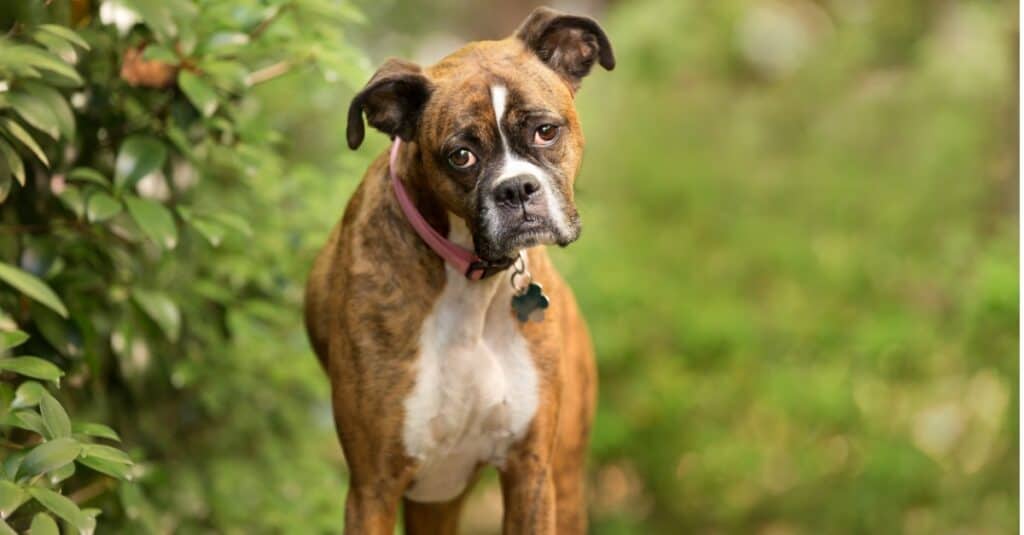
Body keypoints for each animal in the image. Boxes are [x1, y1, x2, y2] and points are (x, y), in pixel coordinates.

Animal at [299, 6, 610, 528]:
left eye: (546, 131)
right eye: (461, 156)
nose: (516, 188)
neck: (473, 285)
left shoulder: (530, 475)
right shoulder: (372, 490)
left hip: (562, 484)